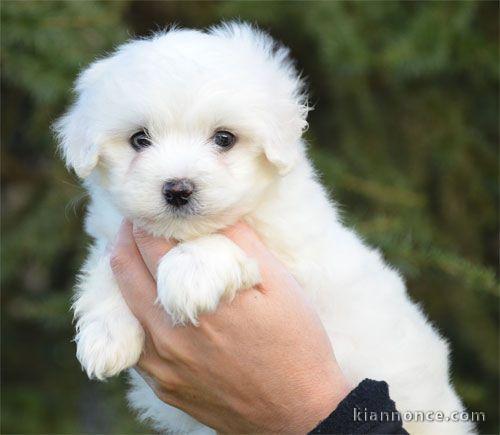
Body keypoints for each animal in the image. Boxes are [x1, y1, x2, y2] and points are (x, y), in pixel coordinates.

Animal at [56, 22, 474, 434]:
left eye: (224, 139)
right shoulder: (116, 238)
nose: (177, 189)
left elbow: (220, 245)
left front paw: (189, 274)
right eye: (139, 139)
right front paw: (105, 336)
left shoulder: (296, 267)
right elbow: (102, 269)